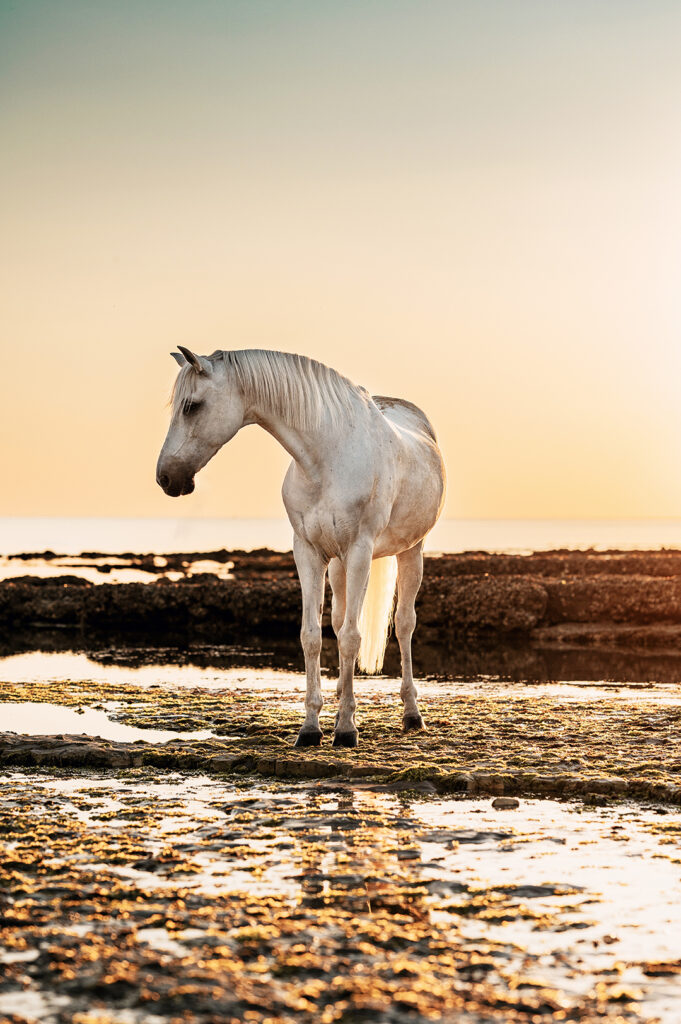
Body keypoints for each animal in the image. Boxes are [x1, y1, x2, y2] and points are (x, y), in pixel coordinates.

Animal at [157, 348, 446, 749]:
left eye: (192, 406)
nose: (165, 478)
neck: (326, 459)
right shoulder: (307, 552)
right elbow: (313, 636)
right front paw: (311, 727)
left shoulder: (360, 551)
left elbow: (353, 637)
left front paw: (346, 729)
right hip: (338, 565)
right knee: (339, 622)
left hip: (410, 551)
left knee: (403, 625)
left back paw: (411, 714)